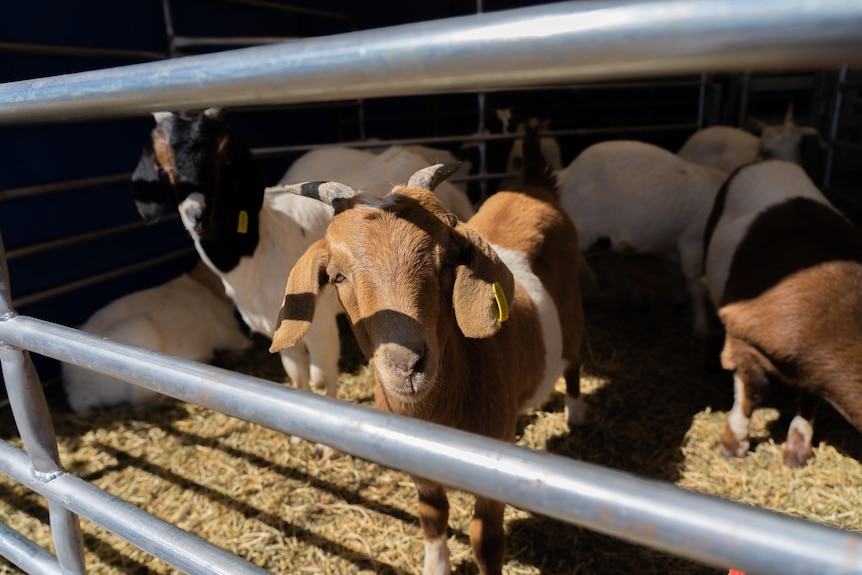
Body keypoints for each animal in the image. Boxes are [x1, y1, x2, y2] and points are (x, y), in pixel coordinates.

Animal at [270, 128, 588, 572]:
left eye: (450, 260)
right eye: (337, 276)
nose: (407, 365)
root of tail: (534, 185)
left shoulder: (491, 478)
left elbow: (486, 541)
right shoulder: (419, 470)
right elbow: (432, 518)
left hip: (572, 312)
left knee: (574, 360)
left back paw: (576, 415)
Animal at [560, 141, 728, 338]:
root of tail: (567, 173)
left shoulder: (673, 244)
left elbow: (676, 272)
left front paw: (680, 303)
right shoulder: (693, 241)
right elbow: (695, 284)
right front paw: (701, 328)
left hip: (604, 237)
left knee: (611, 263)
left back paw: (635, 300)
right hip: (580, 228)